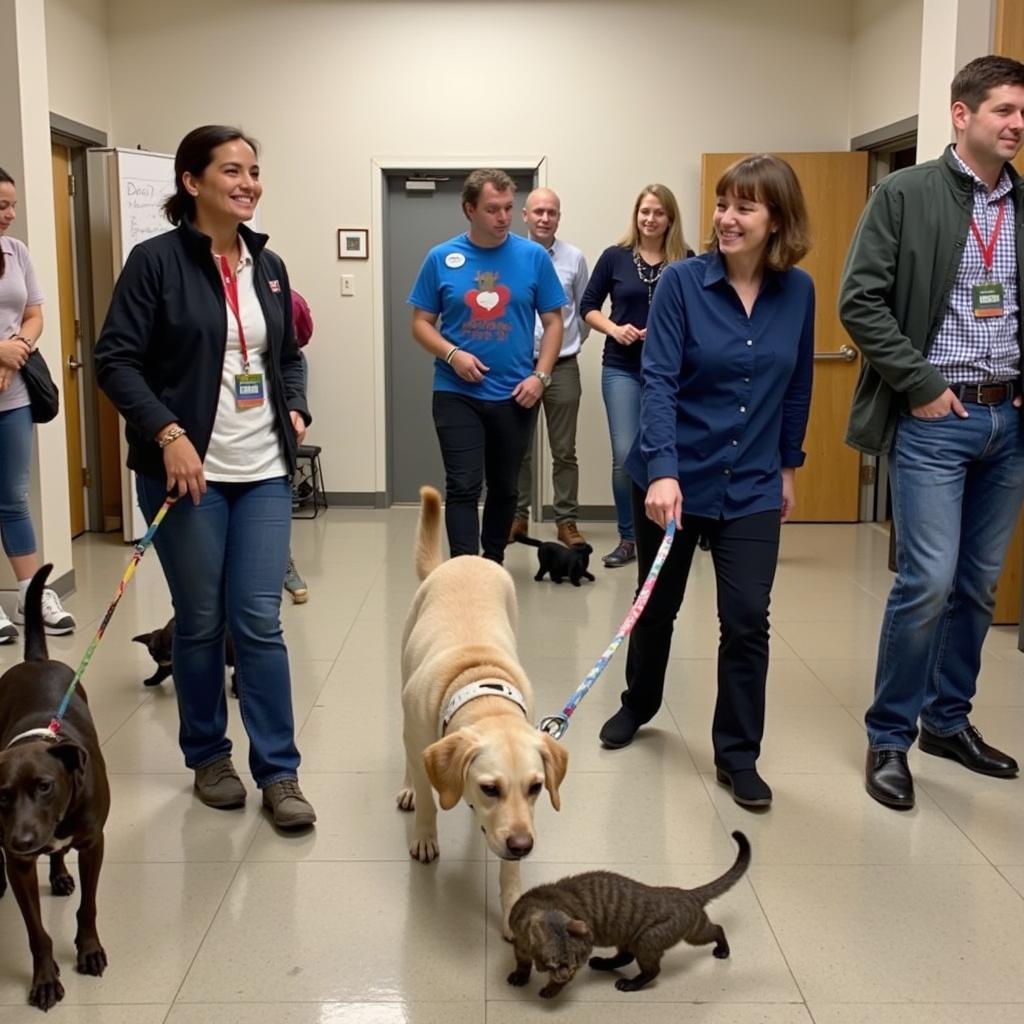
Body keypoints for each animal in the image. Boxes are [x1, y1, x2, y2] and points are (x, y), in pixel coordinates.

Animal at [395, 483, 569, 937]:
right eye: (490, 788)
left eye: (536, 787)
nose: (522, 845)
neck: (481, 687)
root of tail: (464, 557)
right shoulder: (421, 739)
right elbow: (428, 797)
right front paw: (425, 834)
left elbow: (509, 873)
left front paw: (511, 908)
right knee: (409, 759)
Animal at [507, 827, 749, 995]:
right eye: (554, 962)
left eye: (575, 964)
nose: (567, 974)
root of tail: (687, 893)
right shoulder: (519, 944)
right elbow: (523, 963)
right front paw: (520, 976)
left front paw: (550, 990)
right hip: (633, 937)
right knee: (626, 957)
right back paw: (602, 963)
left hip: (656, 939)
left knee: (709, 934)